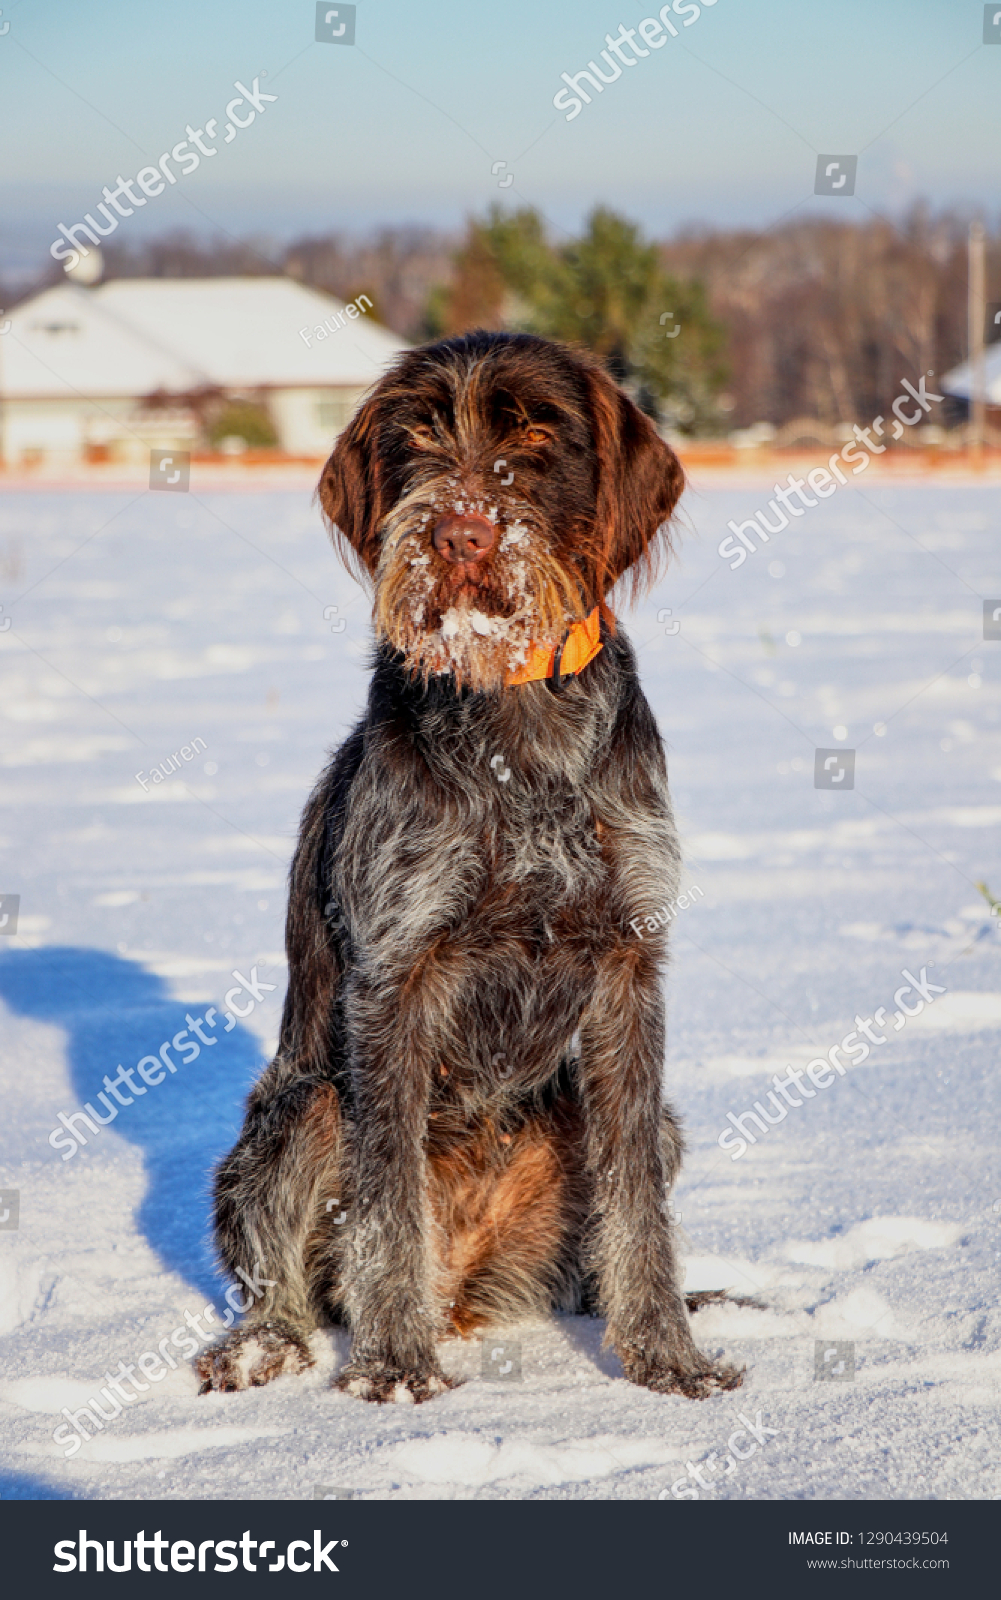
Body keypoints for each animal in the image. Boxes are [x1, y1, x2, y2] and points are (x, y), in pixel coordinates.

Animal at [195, 334, 741, 1401]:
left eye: (535, 435)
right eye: (415, 438)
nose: (459, 535)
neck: (515, 720)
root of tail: (469, 1286)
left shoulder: (627, 968)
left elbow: (636, 1205)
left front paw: (668, 1358)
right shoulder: (396, 973)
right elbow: (388, 1199)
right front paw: (392, 1367)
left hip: (651, 1123)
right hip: (297, 1110)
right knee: (284, 1277)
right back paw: (266, 1345)